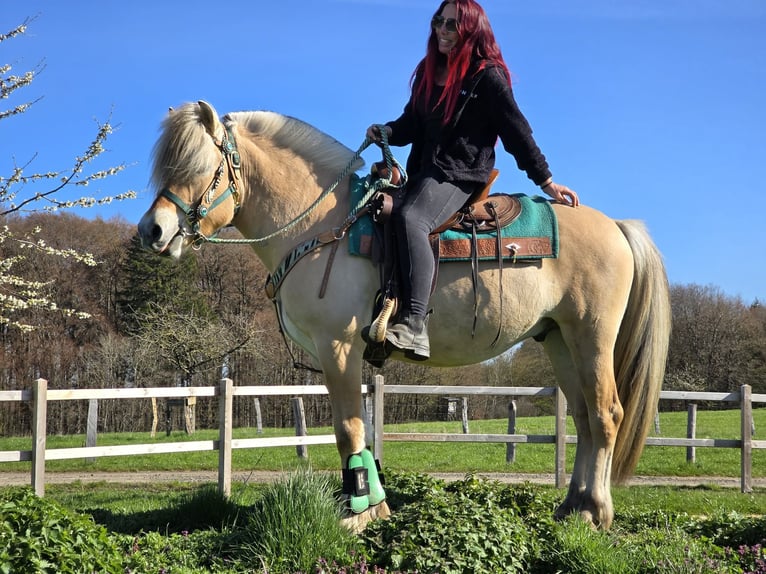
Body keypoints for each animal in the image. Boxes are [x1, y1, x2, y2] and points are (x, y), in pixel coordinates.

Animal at [137, 100, 671, 532]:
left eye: (198, 165)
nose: (152, 231)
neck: (321, 225)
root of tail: (616, 226)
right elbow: (359, 428)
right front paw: (371, 503)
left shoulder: (338, 347)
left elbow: (349, 428)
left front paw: (360, 512)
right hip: (560, 339)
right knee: (582, 417)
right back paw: (572, 505)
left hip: (592, 335)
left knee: (606, 414)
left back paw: (594, 511)